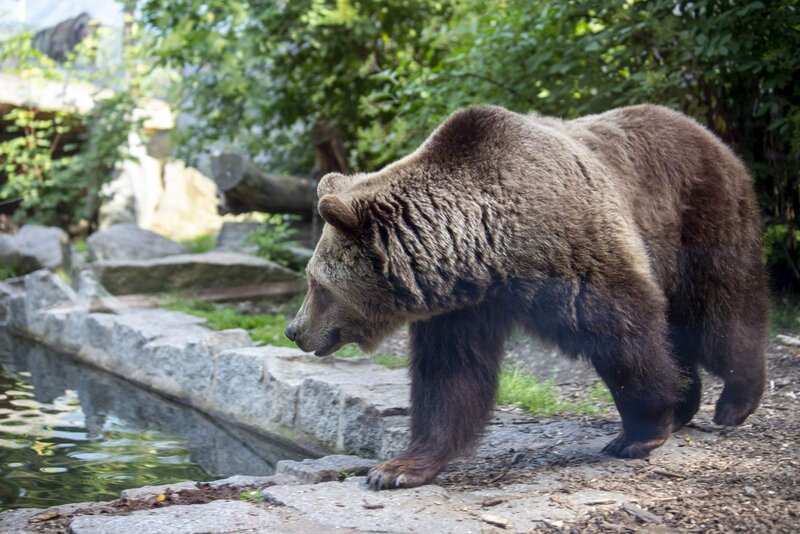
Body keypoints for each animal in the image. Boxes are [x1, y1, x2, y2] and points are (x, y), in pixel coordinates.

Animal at [284, 103, 764, 490]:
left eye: (316, 284)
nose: (294, 329)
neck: (494, 250)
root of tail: (707, 133)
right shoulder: (464, 307)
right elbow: (449, 378)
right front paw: (398, 468)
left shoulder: (579, 257)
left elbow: (626, 334)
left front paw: (638, 433)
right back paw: (690, 403)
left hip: (698, 217)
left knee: (716, 312)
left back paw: (735, 402)